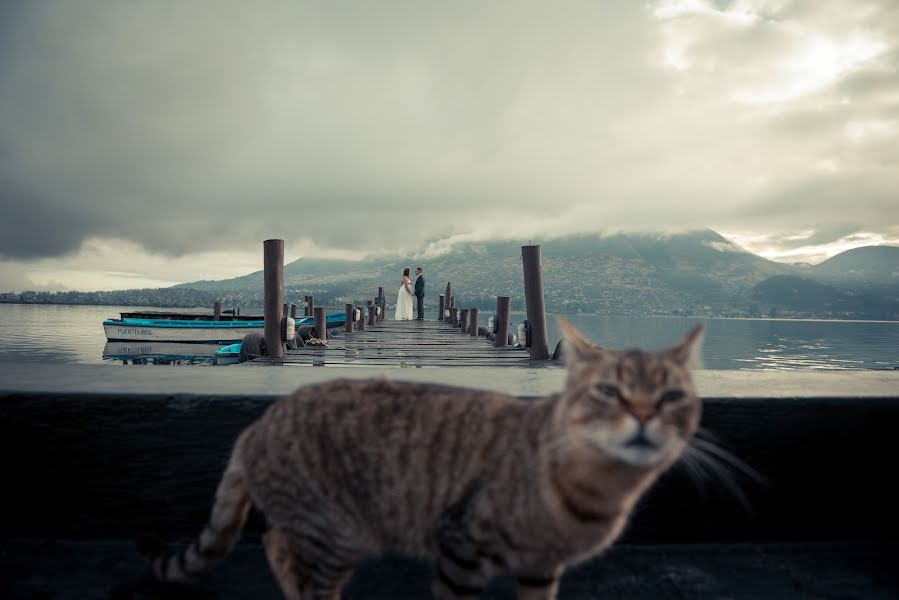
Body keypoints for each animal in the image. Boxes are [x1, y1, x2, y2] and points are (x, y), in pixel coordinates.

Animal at [142, 318, 704, 596]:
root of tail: (255, 428)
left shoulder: (540, 566)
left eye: (672, 398)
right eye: (607, 393)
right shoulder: (462, 542)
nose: (642, 419)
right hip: (335, 527)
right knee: (283, 551)